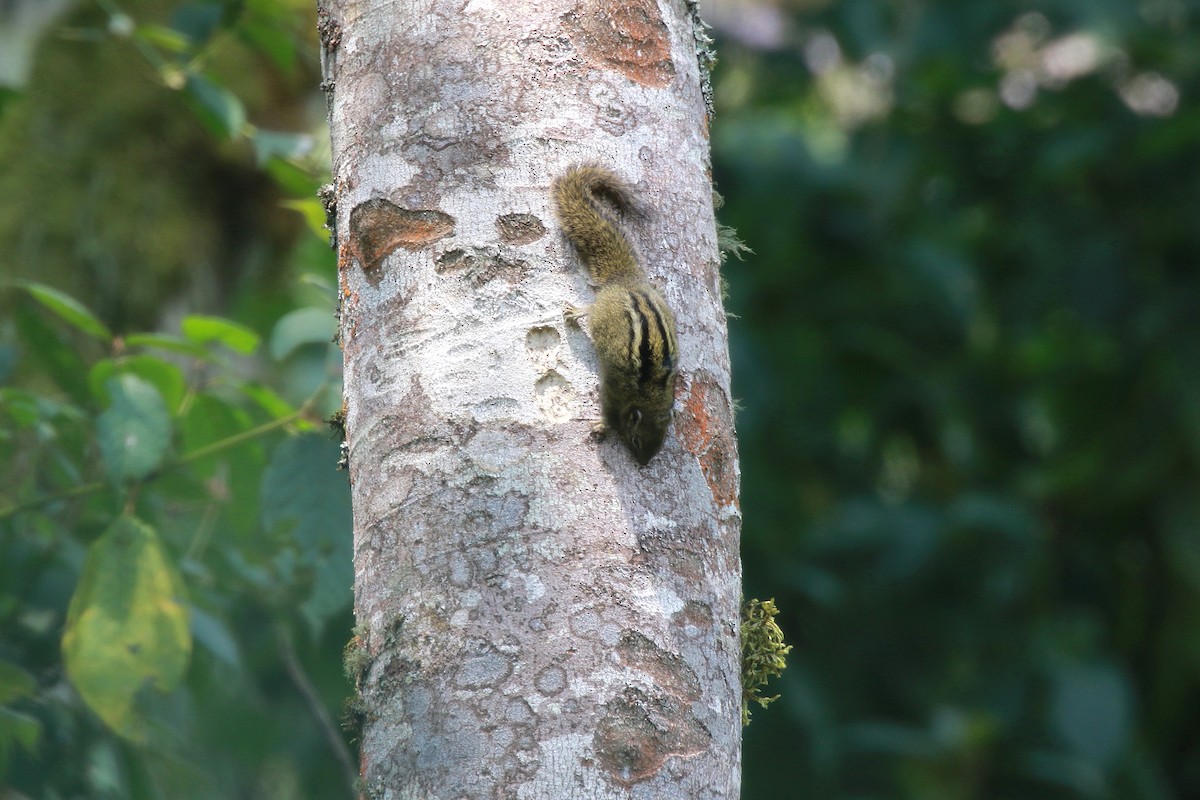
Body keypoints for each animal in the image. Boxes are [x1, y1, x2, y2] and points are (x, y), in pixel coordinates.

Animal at [553, 165, 678, 466]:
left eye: (660, 444)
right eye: (636, 441)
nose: (643, 465)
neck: (652, 394)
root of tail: (625, 280)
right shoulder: (614, 390)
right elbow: (609, 412)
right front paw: (603, 426)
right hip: (601, 311)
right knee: (591, 309)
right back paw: (575, 312)